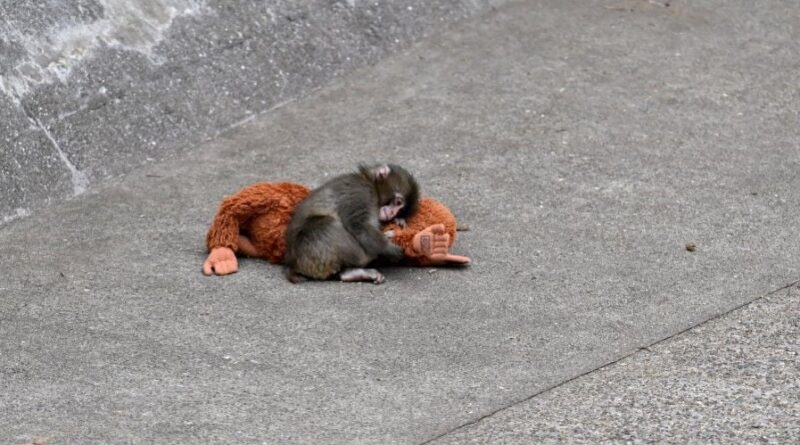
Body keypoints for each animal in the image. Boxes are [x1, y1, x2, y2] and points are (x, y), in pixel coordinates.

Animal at [283, 163, 420, 284]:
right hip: (310, 252)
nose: (392, 213)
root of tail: (292, 263)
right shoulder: (360, 192)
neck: (370, 183)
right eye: (398, 202)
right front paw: (389, 248)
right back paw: (369, 257)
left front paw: (399, 221)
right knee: (326, 224)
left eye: (400, 211)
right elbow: (358, 225)